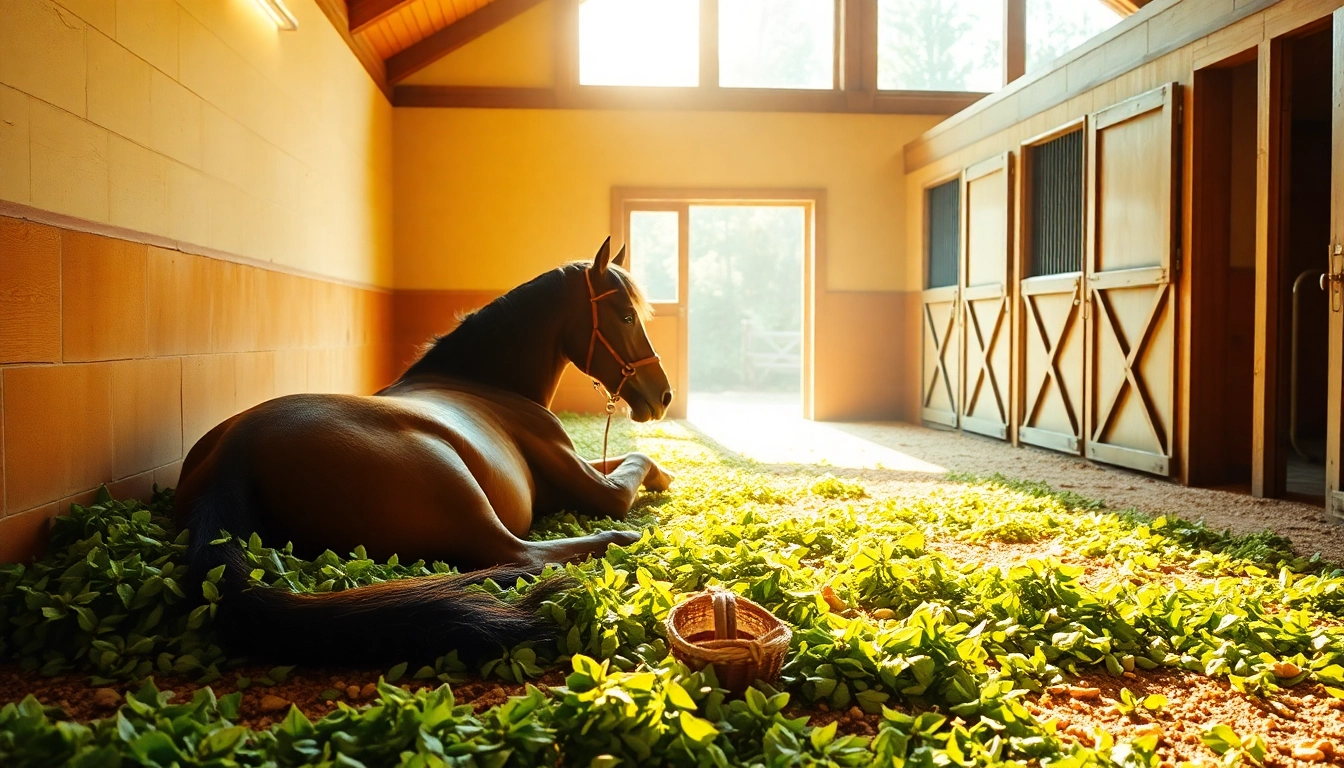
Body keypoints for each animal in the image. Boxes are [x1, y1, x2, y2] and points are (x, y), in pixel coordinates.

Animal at [174, 238, 674, 663]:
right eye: (626, 317)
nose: (664, 395)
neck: (483, 382)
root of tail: (234, 456)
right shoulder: (594, 488)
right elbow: (635, 464)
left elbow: (632, 460)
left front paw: (665, 477)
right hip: (456, 481)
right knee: (521, 556)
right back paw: (626, 539)